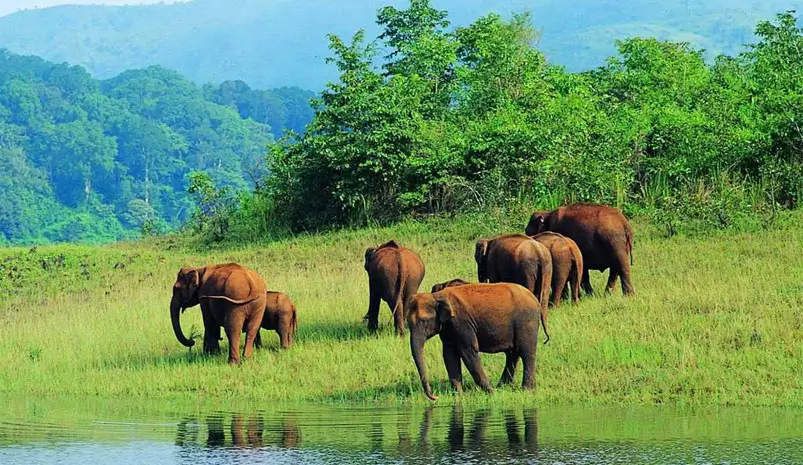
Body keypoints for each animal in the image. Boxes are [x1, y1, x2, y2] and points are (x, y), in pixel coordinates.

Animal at [407, 283, 543, 400]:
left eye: (424, 321)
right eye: (408, 323)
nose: (435, 397)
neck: (436, 296)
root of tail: (535, 300)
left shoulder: (461, 323)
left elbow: (468, 352)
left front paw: (491, 394)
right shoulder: (448, 329)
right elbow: (449, 356)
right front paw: (459, 396)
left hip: (526, 322)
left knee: (526, 353)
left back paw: (526, 390)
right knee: (512, 354)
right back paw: (502, 386)